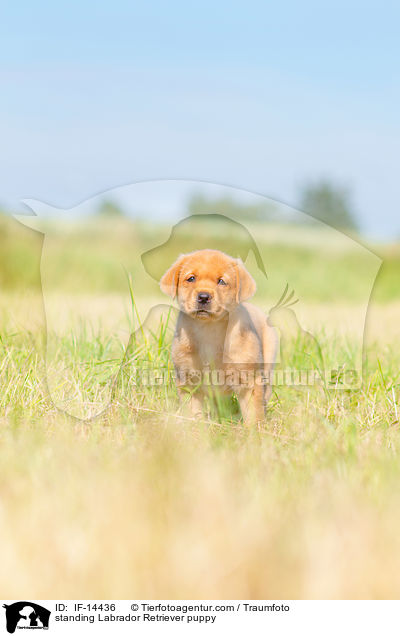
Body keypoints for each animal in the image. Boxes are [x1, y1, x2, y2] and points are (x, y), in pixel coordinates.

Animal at [160, 251, 278, 424]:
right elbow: (192, 411)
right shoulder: (188, 379)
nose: (203, 297)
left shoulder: (250, 381)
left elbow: (253, 413)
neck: (209, 329)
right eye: (191, 278)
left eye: (221, 281)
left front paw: (255, 430)